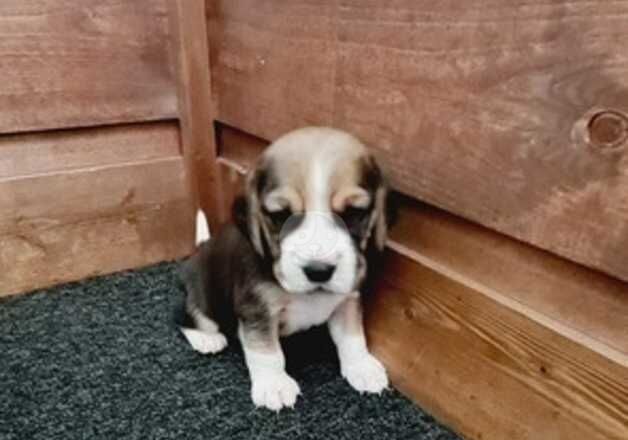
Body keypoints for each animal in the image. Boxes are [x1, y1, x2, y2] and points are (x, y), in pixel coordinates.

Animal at [179, 125, 390, 410]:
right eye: (281, 215)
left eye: (354, 213)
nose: (319, 271)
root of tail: (200, 251)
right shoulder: (257, 310)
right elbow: (267, 352)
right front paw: (274, 384)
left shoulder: (348, 298)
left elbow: (353, 337)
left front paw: (361, 367)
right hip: (202, 295)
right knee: (187, 316)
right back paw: (205, 338)